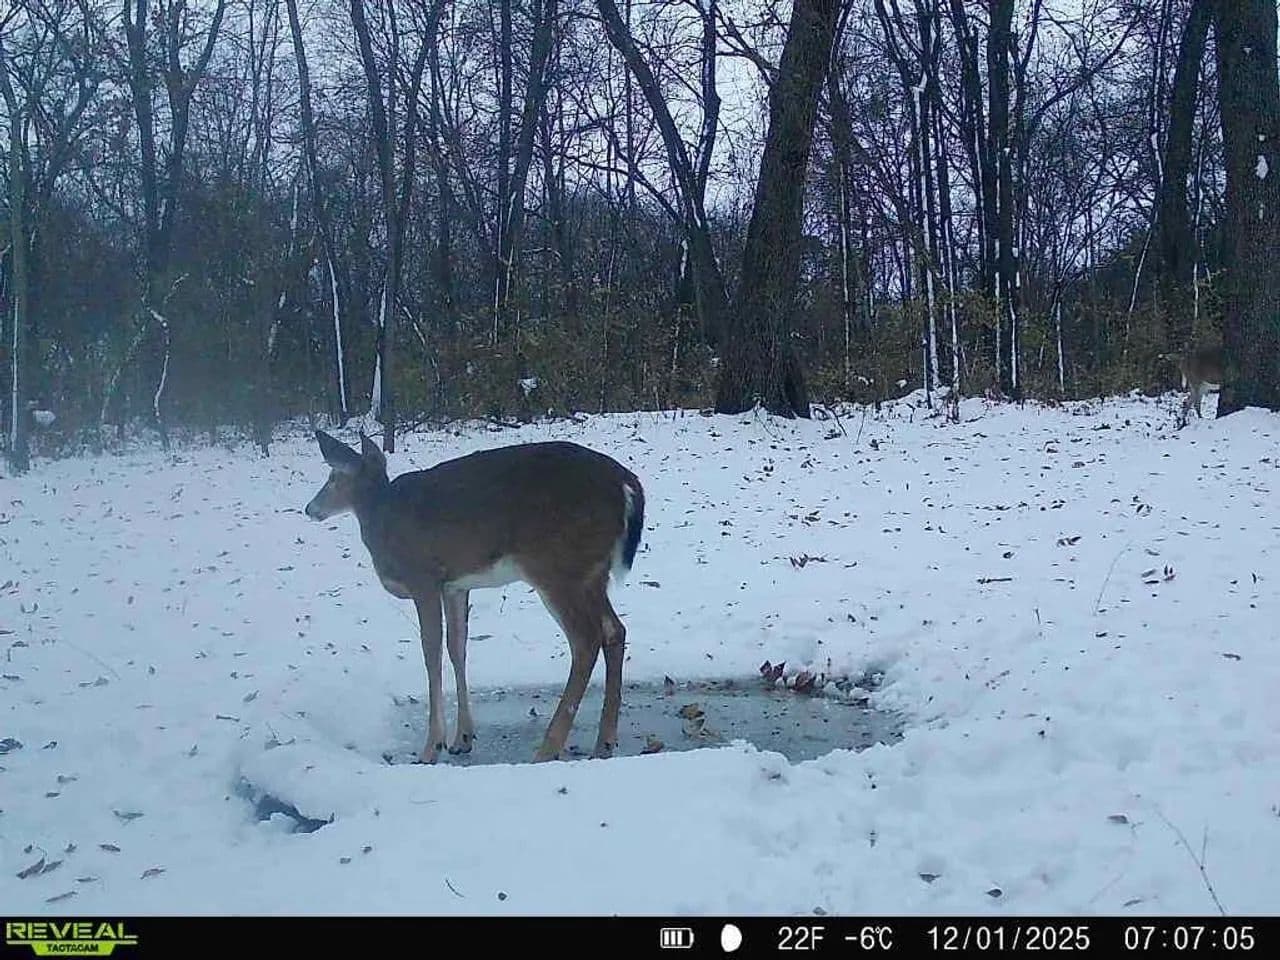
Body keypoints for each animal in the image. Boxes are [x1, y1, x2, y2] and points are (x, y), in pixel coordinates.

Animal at [303, 431, 645, 765]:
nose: (310, 509)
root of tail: (627, 484)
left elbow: (431, 652)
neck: (382, 517)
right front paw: (462, 739)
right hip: (593, 572)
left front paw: (432, 746)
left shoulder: (423, 578)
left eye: (334, 477)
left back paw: (548, 748)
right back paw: (604, 742)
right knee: (614, 630)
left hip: (557, 567)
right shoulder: (454, 586)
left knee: (586, 640)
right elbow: (457, 647)